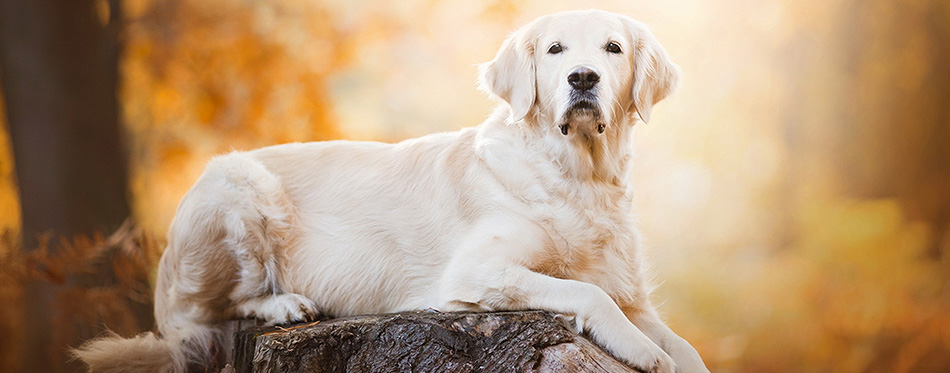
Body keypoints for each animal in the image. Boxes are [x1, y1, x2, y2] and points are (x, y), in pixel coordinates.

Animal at [76, 9, 708, 372]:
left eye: (612, 49)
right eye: (556, 51)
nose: (582, 78)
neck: (578, 176)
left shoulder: (634, 295)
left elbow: (687, 347)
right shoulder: (477, 272)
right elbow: (588, 294)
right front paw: (643, 352)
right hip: (237, 187)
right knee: (200, 315)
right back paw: (286, 304)